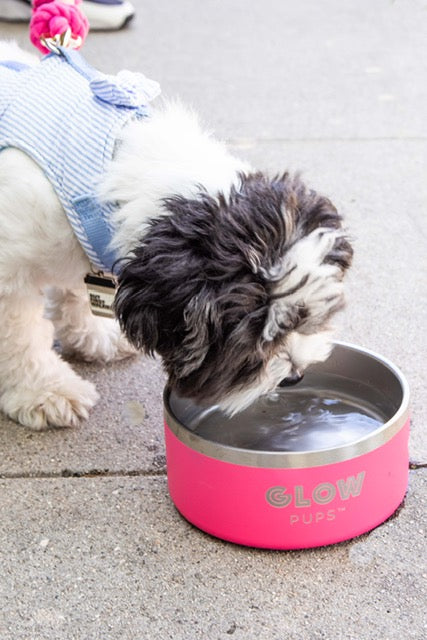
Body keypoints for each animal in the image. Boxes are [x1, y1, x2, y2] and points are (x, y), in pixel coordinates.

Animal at [0, 40, 352, 430]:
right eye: (250, 338)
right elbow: (20, 337)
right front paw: (45, 391)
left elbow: (77, 290)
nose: (295, 374)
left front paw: (93, 335)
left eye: (307, 318)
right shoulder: (9, 272)